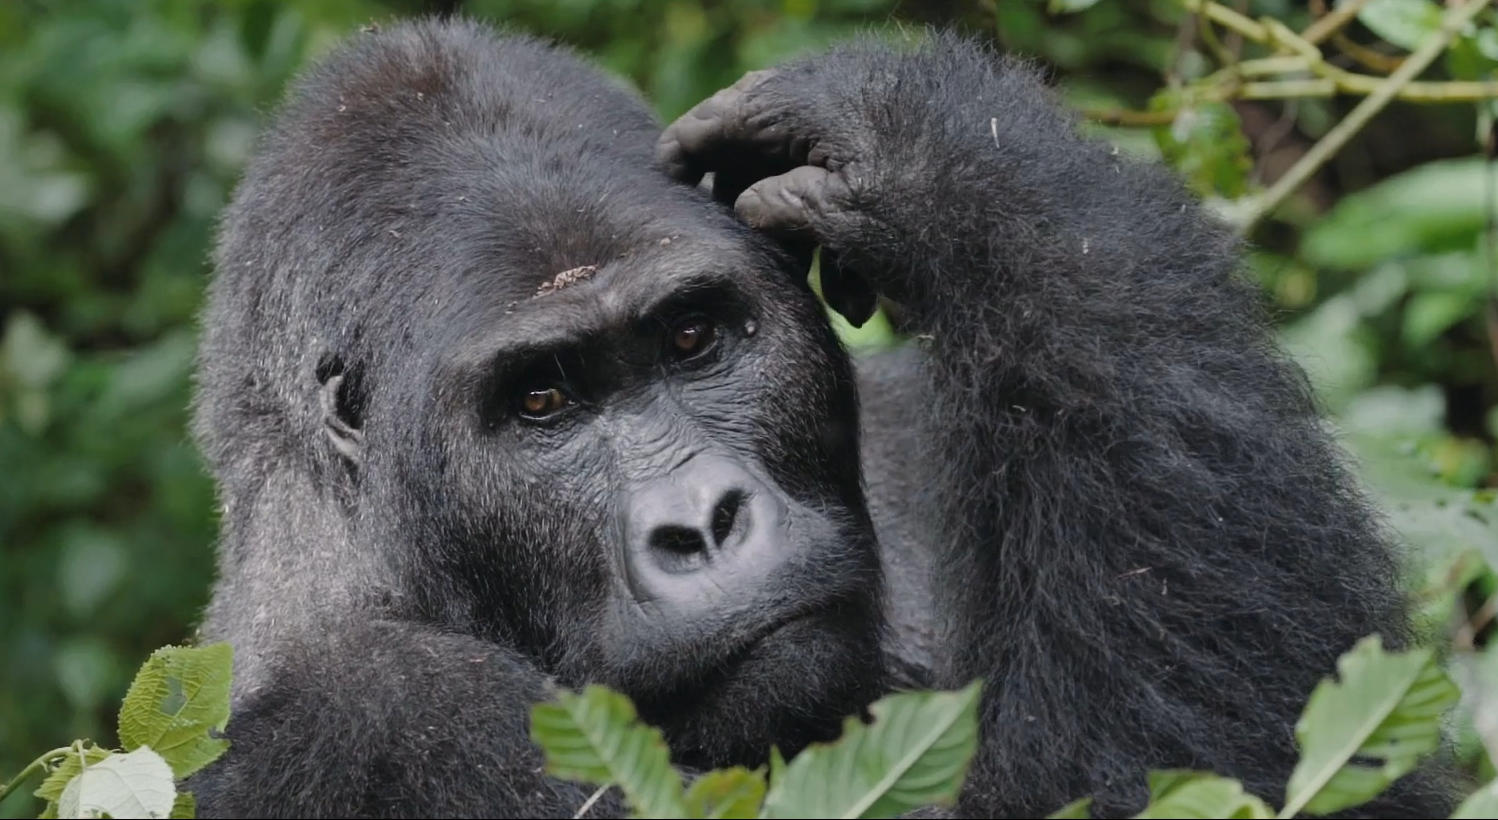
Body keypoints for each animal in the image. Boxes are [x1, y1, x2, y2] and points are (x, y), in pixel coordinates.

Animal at [184, 12, 1450, 820]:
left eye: (692, 337)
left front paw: (935, 159)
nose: (704, 522)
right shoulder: (386, 716)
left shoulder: (906, 434)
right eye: (542, 400)